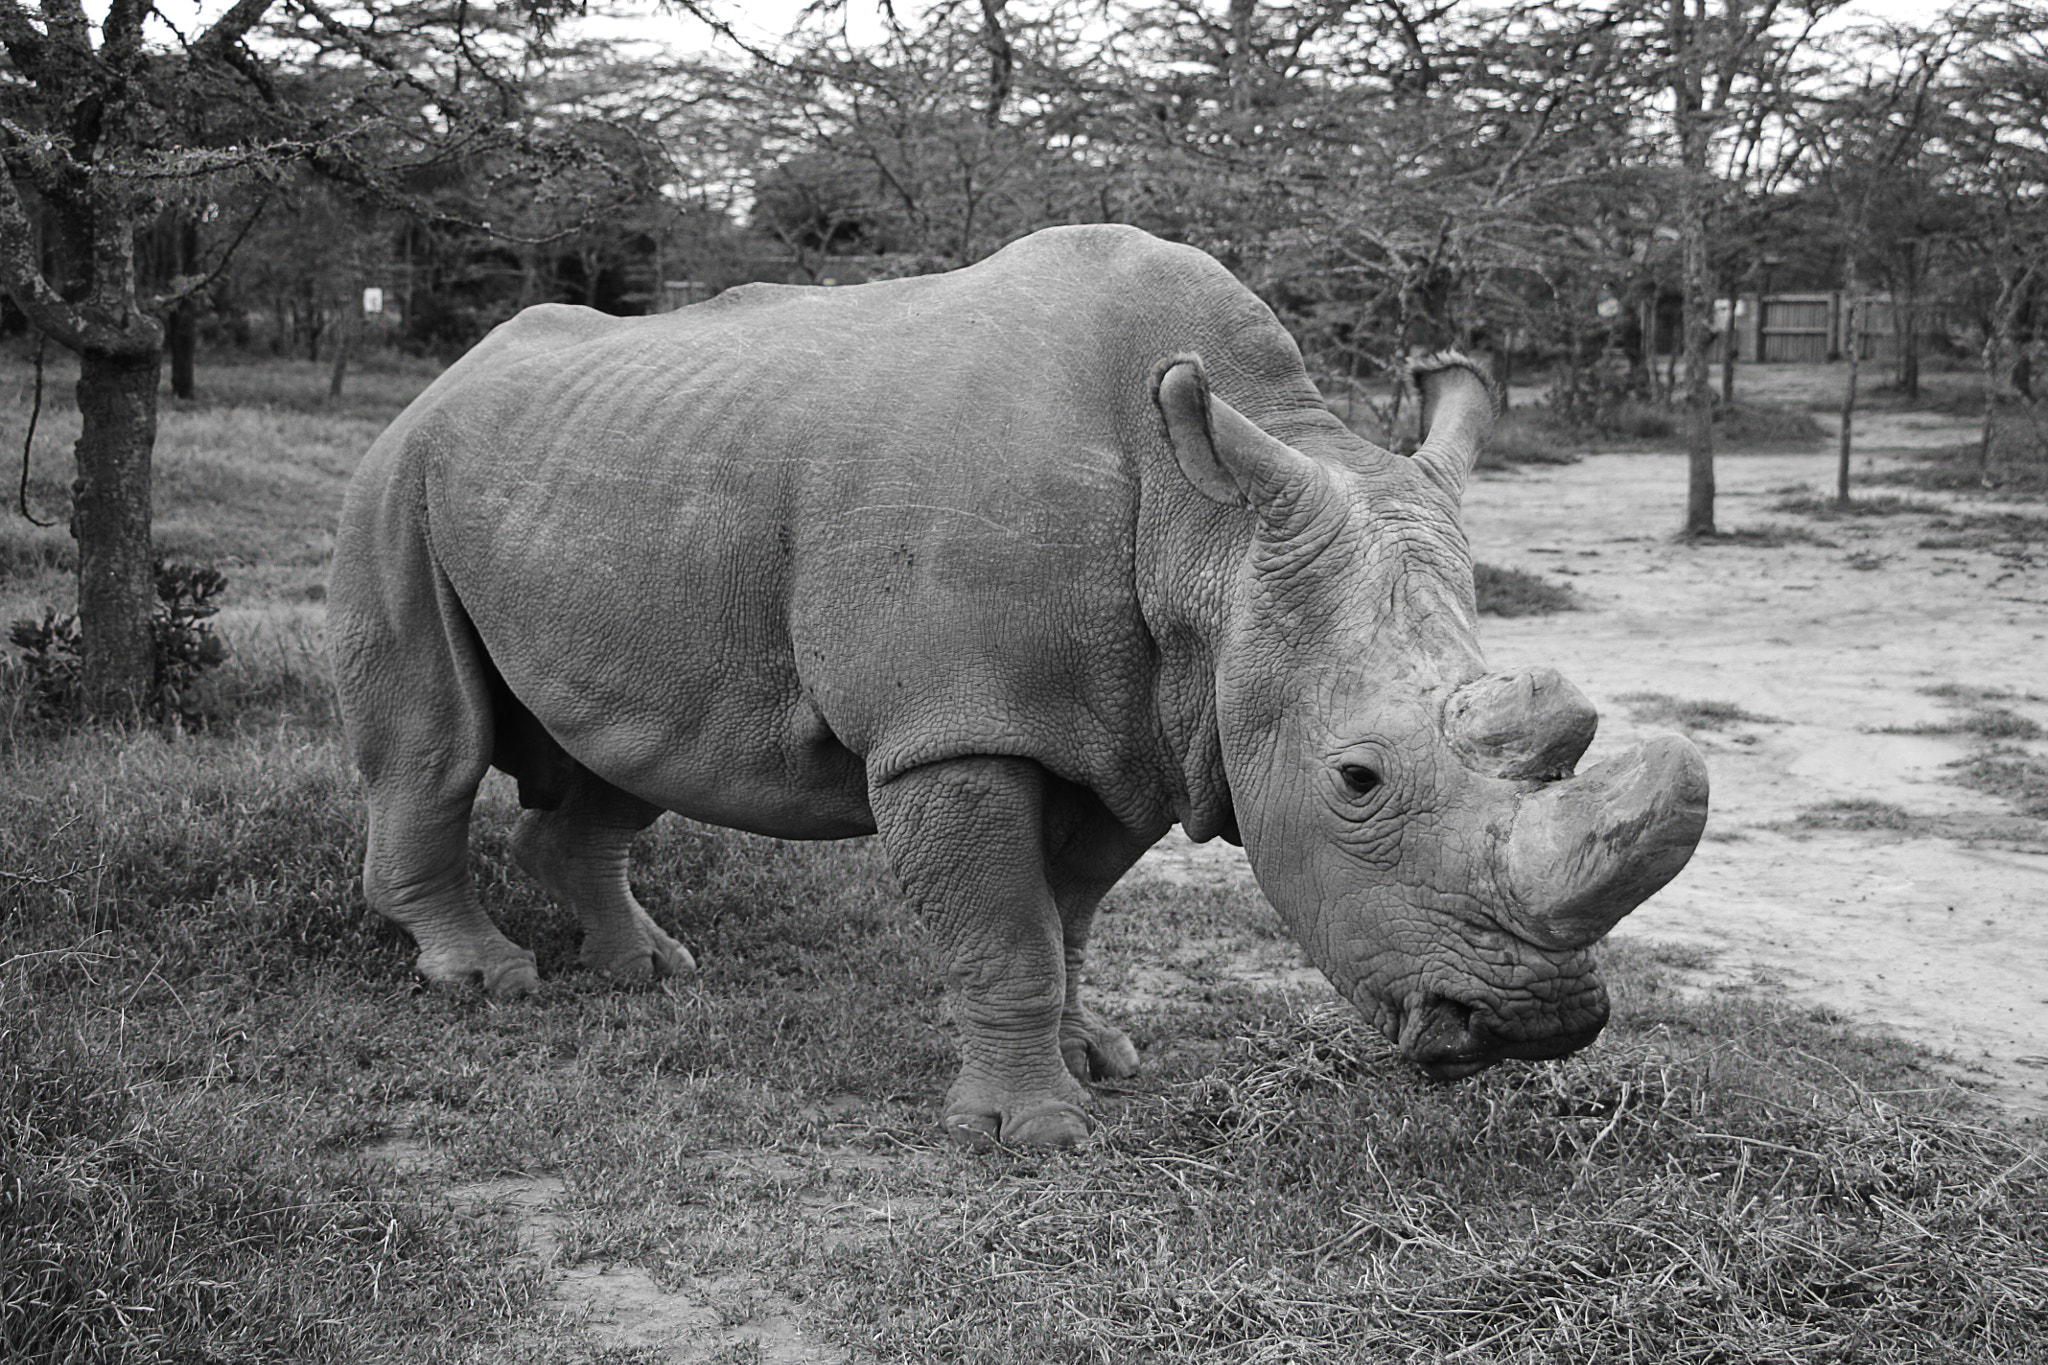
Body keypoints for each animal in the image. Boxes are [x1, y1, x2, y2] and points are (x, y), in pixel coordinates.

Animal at [329, 223, 1708, 1148]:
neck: (1207, 538)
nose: (1535, 1027)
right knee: (439, 744)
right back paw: (486, 981)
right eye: (1357, 780)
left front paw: (1098, 1062)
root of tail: (443, 379)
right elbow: (1005, 929)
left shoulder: (1137, 731)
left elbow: (1071, 915)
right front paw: (1030, 1136)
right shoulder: (954, 727)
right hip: (397, 476)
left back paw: (648, 973)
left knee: (640, 749)